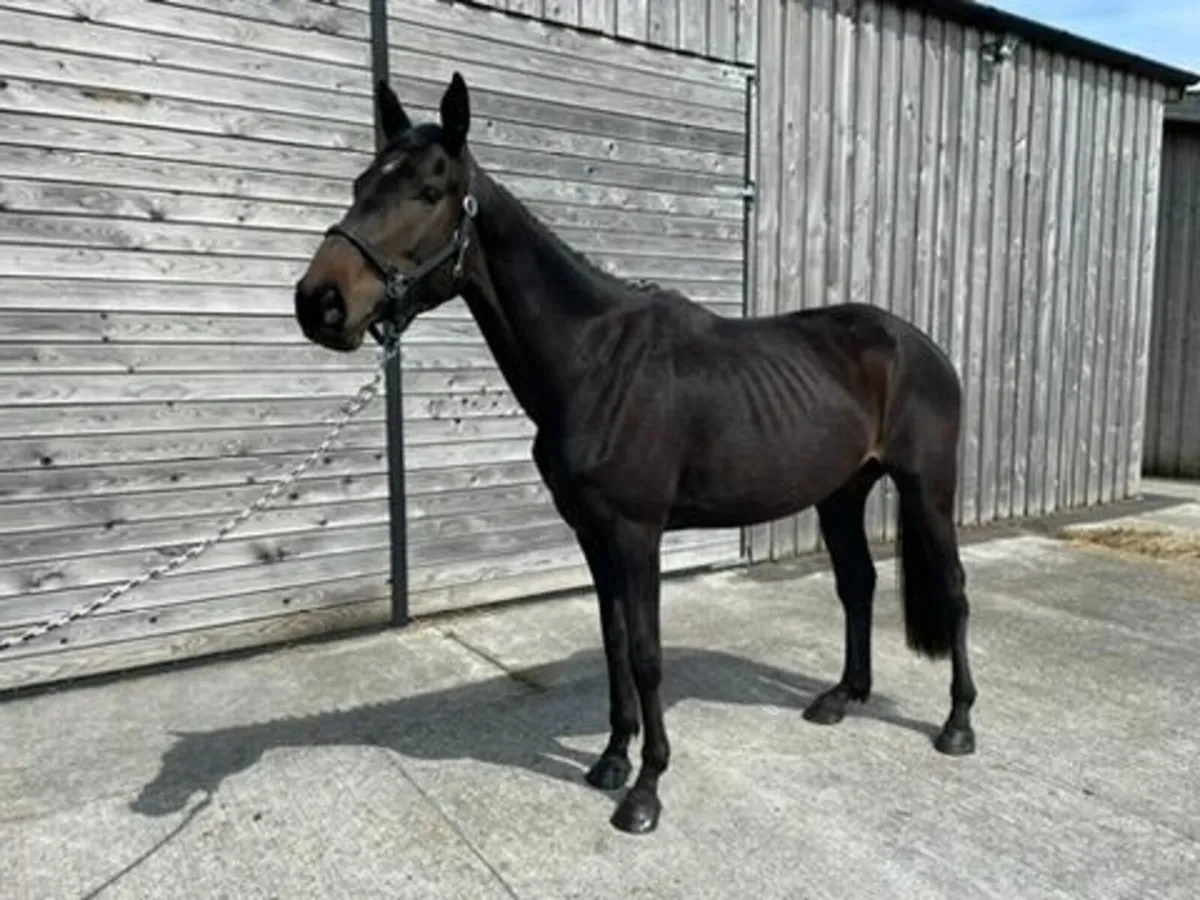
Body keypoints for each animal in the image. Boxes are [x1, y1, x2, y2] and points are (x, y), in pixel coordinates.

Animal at [293, 72, 978, 836]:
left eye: (429, 191)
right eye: (361, 183)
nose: (320, 303)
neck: (592, 360)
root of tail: (916, 342)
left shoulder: (636, 531)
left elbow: (647, 654)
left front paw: (645, 791)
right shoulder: (593, 534)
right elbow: (615, 640)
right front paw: (612, 761)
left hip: (927, 487)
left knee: (953, 592)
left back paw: (957, 725)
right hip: (841, 493)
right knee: (857, 584)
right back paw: (840, 698)